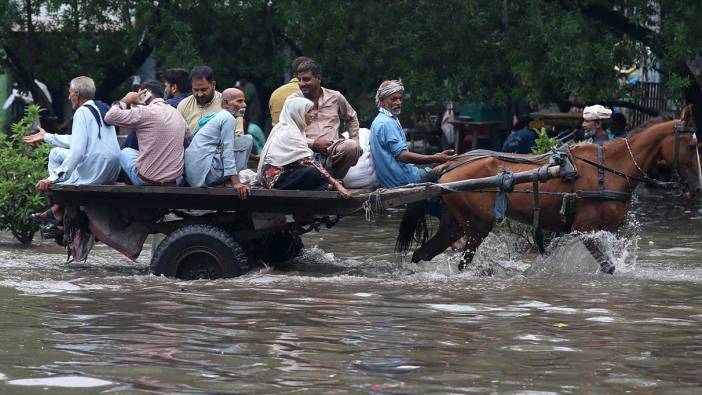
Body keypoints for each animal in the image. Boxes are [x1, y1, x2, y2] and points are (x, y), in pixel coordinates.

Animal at [398, 105, 700, 272]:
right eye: (692, 145)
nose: (697, 188)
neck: (611, 169)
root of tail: (448, 166)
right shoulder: (584, 230)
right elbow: (609, 266)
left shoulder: (608, 230)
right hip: (477, 226)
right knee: (461, 262)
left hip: (455, 225)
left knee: (421, 254)